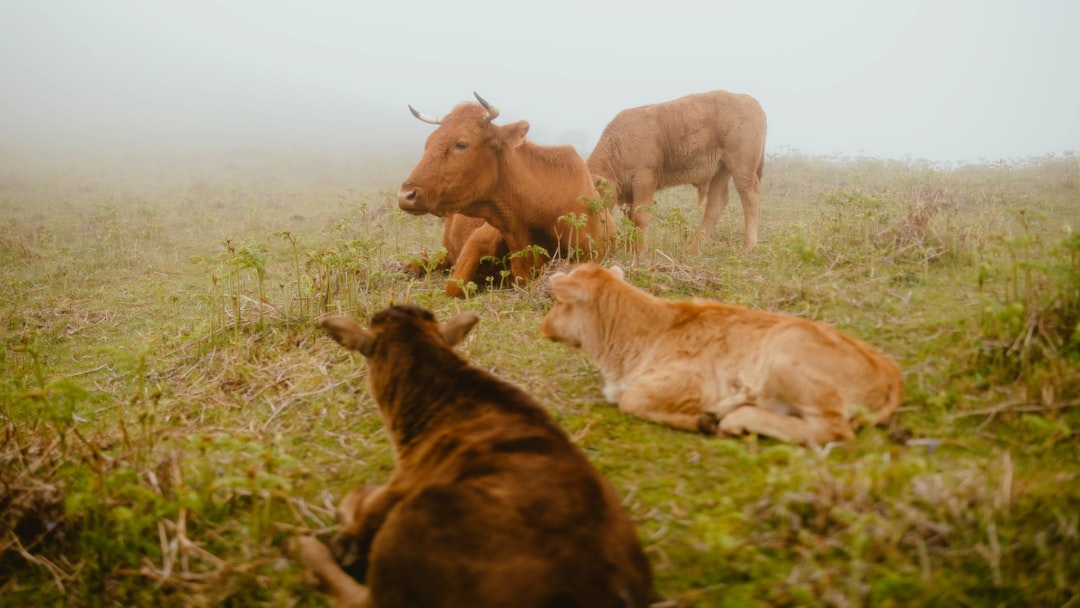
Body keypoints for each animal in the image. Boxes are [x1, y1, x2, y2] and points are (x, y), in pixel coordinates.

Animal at [540, 264, 903, 446]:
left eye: (558, 301)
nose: (544, 325)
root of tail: (889, 368)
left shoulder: (690, 383)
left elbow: (632, 400)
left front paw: (702, 421)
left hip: (786, 360)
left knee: (832, 430)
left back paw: (735, 418)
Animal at [586, 90, 767, 253]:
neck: (617, 145)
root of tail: (750, 100)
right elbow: (631, 217)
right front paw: (631, 248)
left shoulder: (645, 178)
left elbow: (640, 216)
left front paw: (641, 251)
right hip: (721, 169)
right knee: (716, 202)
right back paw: (693, 249)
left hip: (742, 167)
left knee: (750, 195)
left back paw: (748, 247)